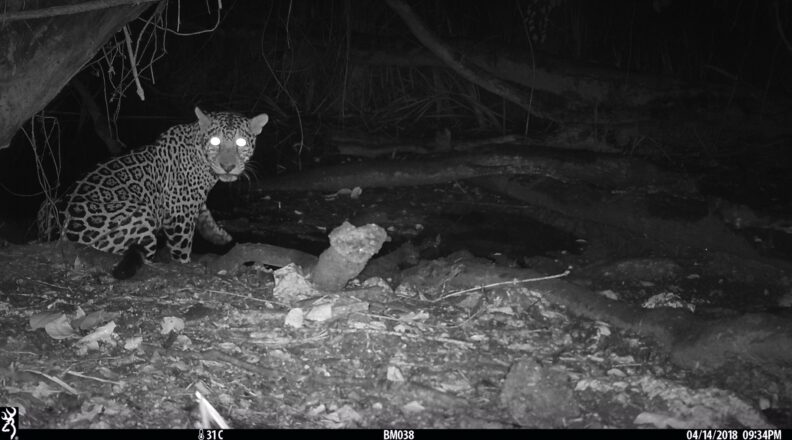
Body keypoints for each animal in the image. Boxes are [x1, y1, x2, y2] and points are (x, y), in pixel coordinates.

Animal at [37, 107, 269, 266]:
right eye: (214, 141)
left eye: (241, 143)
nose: (228, 166)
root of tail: (58, 235)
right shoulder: (179, 213)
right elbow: (182, 246)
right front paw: (185, 262)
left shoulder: (190, 201)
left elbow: (205, 213)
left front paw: (219, 235)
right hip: (140, 215)